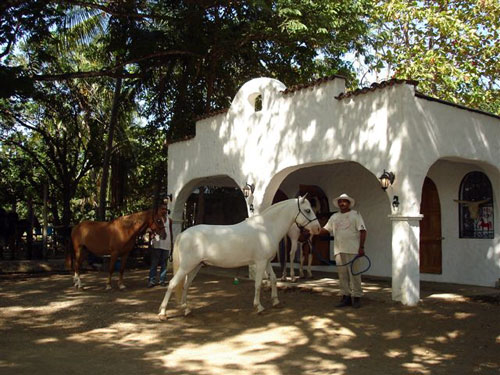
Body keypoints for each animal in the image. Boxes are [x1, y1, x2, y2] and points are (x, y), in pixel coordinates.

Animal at [157, 197, 320, 320]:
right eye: (307, 210)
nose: (318, 229)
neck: (266, 228)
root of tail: (183, 234)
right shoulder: (260, 262)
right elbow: (258, 284)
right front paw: (259, 307)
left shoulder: (266, 261)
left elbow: (273, 279)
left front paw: (276, 301)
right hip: (187, 266)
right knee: (172, 284)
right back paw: (163, 313)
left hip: (195, 266)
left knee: (186, 286)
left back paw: (186, 310)